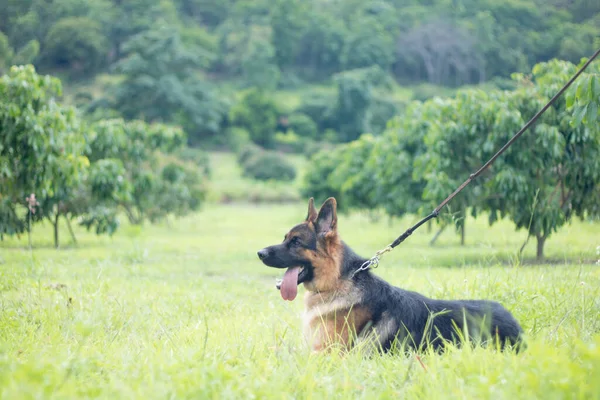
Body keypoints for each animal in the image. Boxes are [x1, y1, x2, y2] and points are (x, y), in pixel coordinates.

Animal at [255, 198, 524, 354]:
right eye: (284, 238)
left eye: (295, 242)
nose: (259, 253)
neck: (338, 282)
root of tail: (516, 326)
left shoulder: (325, 353)